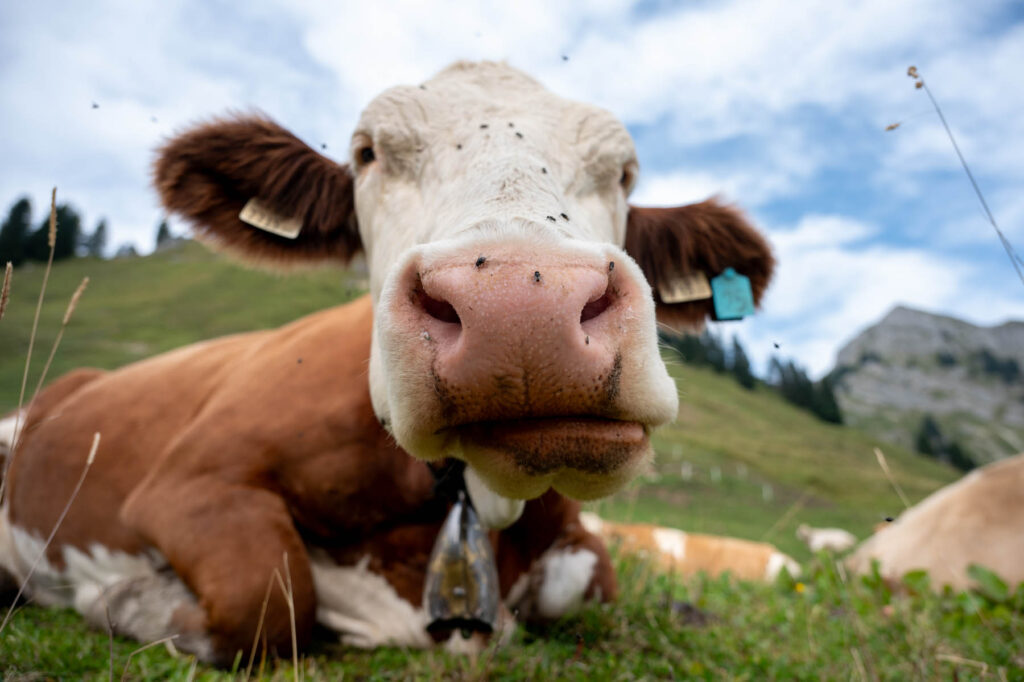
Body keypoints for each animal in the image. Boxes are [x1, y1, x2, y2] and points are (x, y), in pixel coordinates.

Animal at [0, 61, 774, 665]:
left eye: (624, 172)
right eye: (369, 152)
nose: (522, 308)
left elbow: (589, 584)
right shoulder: (187, 480)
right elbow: (266, 593)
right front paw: (129, 599)